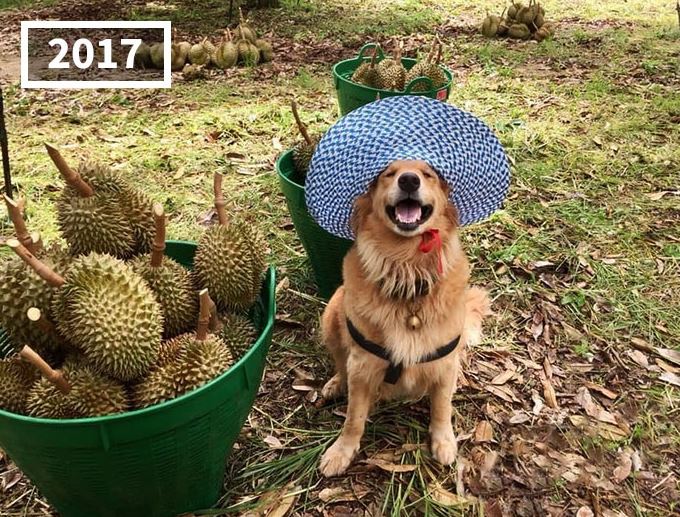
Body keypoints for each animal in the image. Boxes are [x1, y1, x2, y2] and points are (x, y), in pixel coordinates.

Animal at [316, 158, 492, 476]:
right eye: (388, 174)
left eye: (428, 174)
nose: (409, 180)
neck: (408, 273)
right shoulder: (361, 366)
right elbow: (353, 418)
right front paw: (341, 451)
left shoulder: (444, 365)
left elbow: (442, 407)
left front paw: (444, 441)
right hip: (332, 313)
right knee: (339, 362)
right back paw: (336, 384)